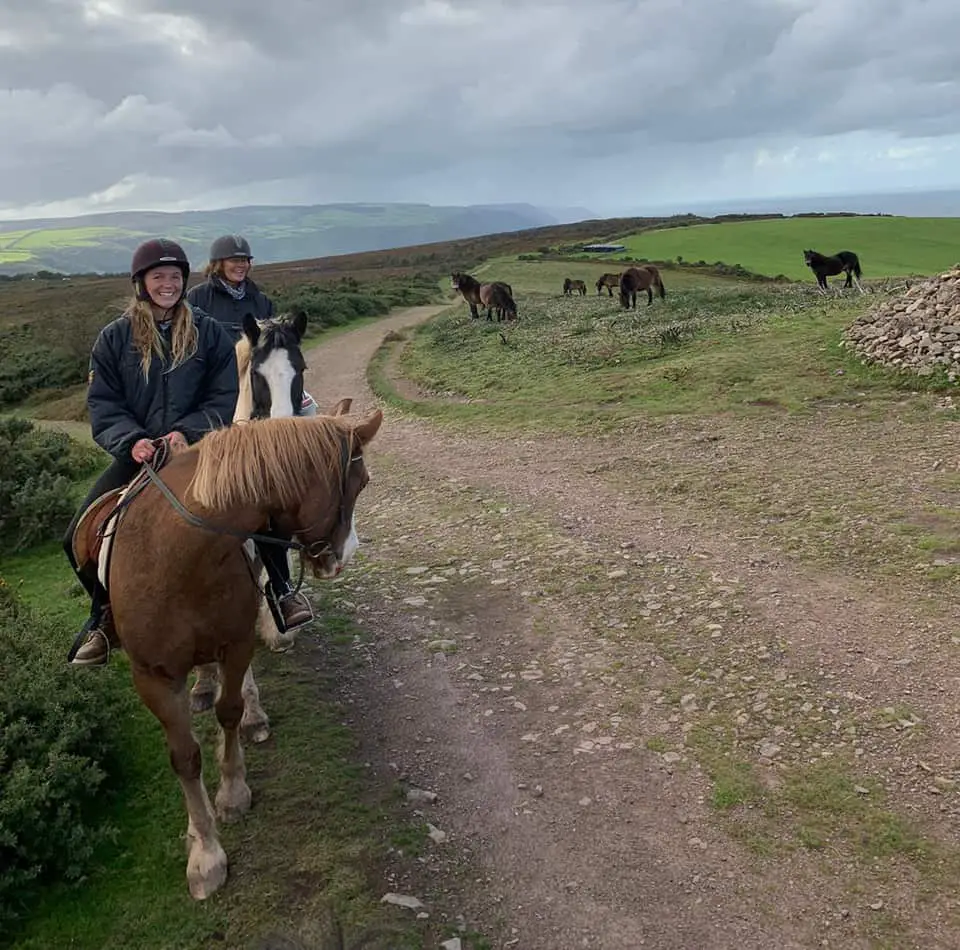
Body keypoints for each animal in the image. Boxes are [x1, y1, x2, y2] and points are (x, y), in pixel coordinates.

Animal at [72, 410, 382, 900]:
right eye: (362, 481)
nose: (342, 557)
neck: (177, 556)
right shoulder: (153, 676)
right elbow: (184, 757)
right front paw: (204, 852)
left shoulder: (235, 644)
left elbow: (230, 711)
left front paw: (233, 793)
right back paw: (201, 685)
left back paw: (250, 712)